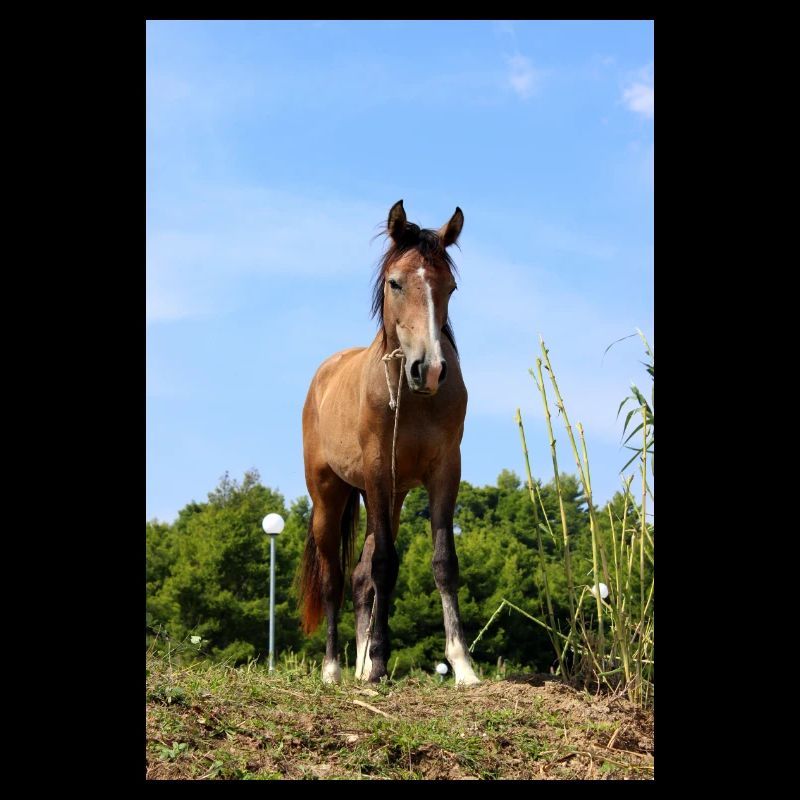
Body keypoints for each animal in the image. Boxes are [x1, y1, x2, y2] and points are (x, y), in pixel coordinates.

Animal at [299, 200, 480, 686]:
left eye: (450, 286)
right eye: (395, 282)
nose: (429, 369)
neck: (412, 399)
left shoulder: (444, 472)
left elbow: (442, 563)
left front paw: (462, 664)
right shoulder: (379, 473)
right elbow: (384, 564)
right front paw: (379, 662)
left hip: (390, 498)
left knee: (360, 578)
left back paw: (359, 665)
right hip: (330, 497)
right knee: (335, 579)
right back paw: (333, 669)